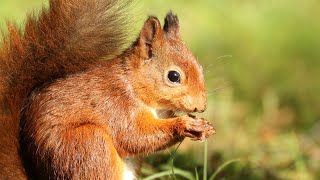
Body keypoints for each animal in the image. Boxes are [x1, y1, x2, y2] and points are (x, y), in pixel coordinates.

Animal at [0, 0, 215, 179]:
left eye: (200, 67)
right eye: (174, 76)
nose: (201, 107)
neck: (134, 84)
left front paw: (204, 126)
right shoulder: (116, 105)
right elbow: (134, 137)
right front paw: (184, 124)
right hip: (88, 145)